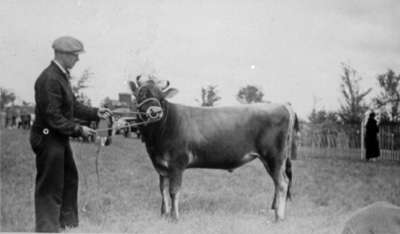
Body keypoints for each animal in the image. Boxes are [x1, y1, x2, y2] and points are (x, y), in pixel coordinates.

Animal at [130, 76, 298, 221]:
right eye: (140, 94)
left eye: (161, 98)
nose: (155, 112)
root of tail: (282, 105)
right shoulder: (161, 166)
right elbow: (163, 190)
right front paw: (164, 215)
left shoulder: (177, 164)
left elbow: (173, 191)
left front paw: (174, 217)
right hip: (272, 160)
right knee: (278, 182)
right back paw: (274, 211)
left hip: (274, 157)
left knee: (282, 183)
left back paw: (279, 218)